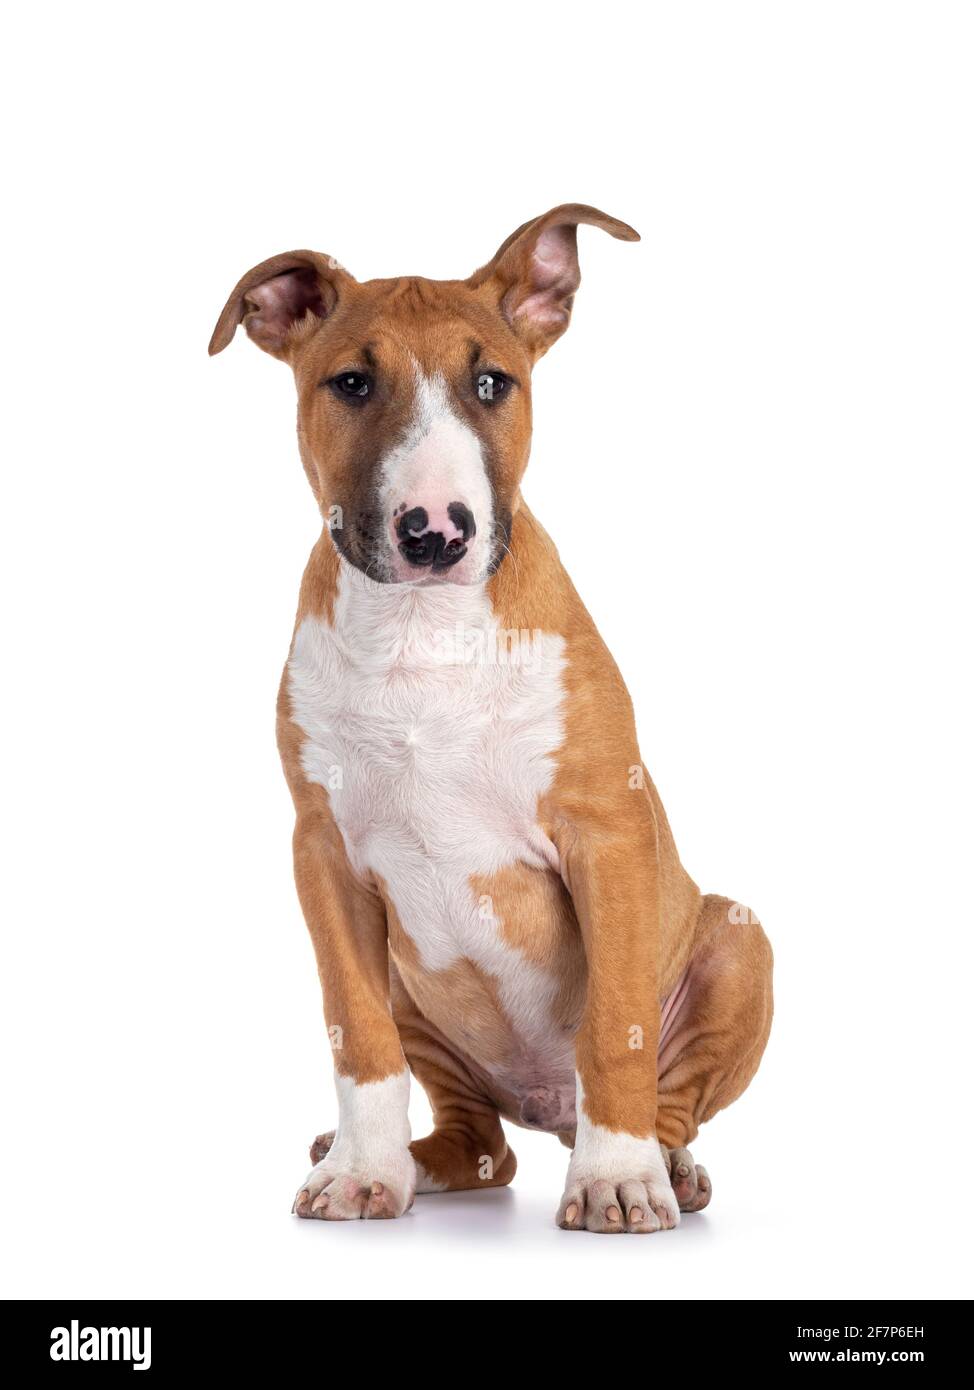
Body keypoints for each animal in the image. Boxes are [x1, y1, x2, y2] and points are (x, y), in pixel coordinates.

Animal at [208, 202, 772, 1228]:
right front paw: (362, 1168)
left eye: (490, 383)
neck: (425, 635)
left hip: (741, 941)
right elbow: (356, 1035)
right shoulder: (323, 854)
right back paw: (405, 1159)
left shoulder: (606, 832)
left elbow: (617, 1026)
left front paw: (616, 1179)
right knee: (483, 1149)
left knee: (664, 1100)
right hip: (414, 984)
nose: (436, 530)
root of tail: (545, 1110)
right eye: (351, 383)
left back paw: (659, 1168)